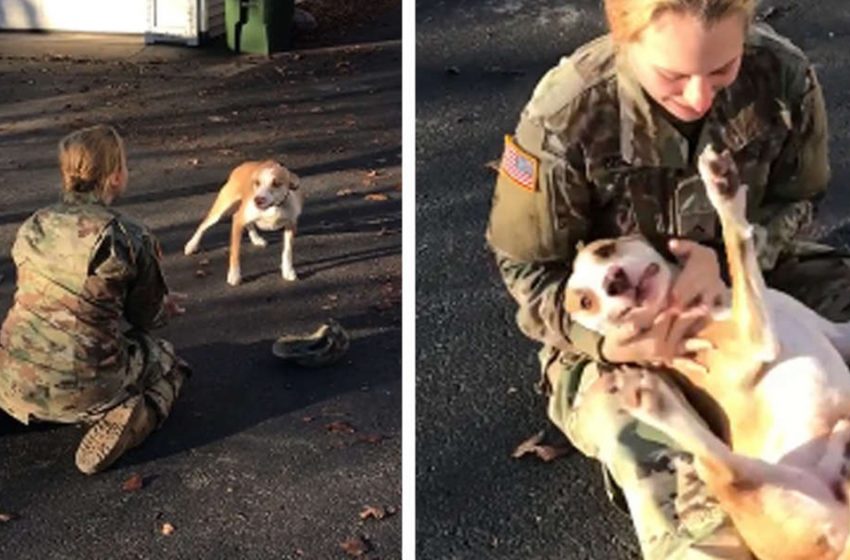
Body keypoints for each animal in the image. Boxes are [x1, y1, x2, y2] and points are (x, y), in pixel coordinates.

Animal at [568, 145, 848, 560]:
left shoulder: (835, 332)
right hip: (758, 484)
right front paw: (722, 191)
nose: (613, 283)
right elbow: (737, 244)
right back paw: (652, 399)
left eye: (605, 249)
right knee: (726, 469)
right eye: (586, 301)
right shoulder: (753, 340)